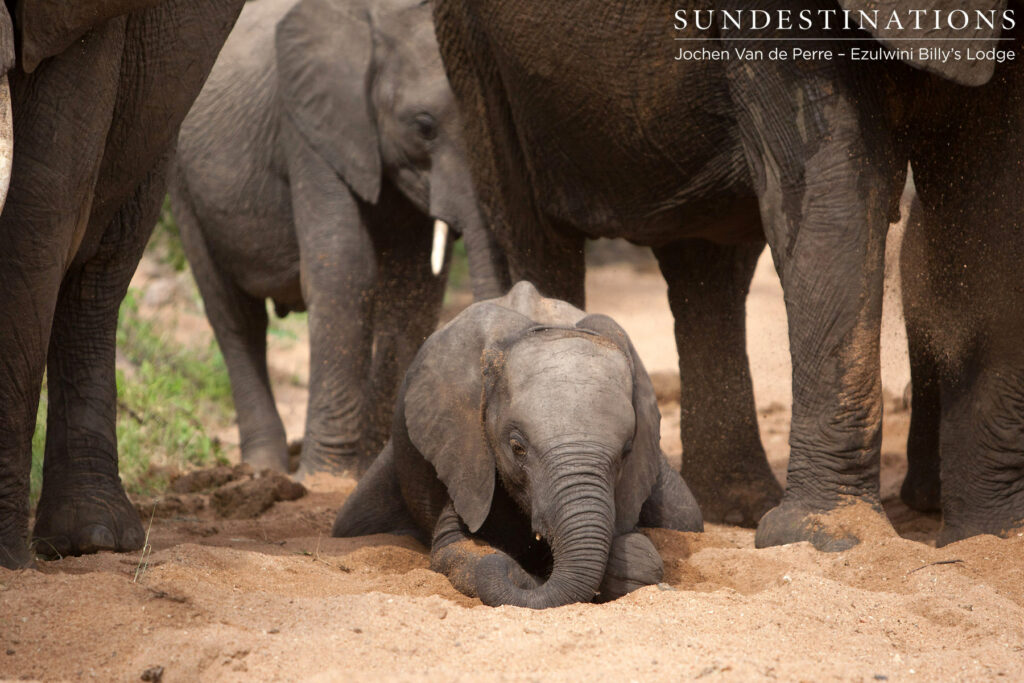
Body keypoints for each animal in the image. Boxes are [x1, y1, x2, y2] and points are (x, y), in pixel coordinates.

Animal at [170, 0, 508, 477]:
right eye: (424, 126)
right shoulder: (309, 126)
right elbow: (344, 266)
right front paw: (326, 476)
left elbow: (414, 286)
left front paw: (379, 465)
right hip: (181, 180)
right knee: (233, 314)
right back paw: (263, 470)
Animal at [333, 281, 703, 609]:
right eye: (517, 447)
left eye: (627, 452)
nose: (536, 566)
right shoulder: (465, 451)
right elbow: (461, 548)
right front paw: (516, 567)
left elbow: (640, 559)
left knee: (684, 515)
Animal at [430, 0, 1024, 548]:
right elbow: (833, 195)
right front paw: (827, 540)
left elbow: (995, 207)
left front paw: (991, 538)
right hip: (476, 50)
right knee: (528, 219)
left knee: (707, 263)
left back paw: (733, 508)